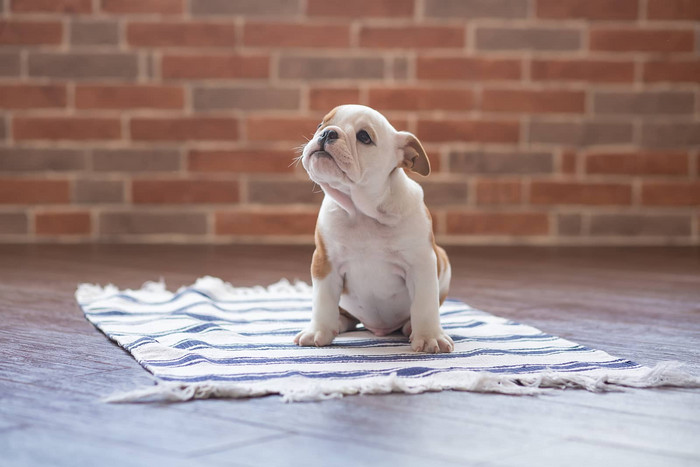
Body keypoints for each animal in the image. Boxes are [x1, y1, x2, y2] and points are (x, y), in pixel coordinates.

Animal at [292, 105, 452, 354]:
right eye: (320, 124)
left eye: (364, 137)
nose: (328, 133)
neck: (362, 212)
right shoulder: (325, 262)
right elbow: (323, 301)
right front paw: (318, 331)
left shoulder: (422, 263)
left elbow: (425, 305)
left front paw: (429, 337)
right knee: (346, 316)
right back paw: (338, 322)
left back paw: (409, 327)